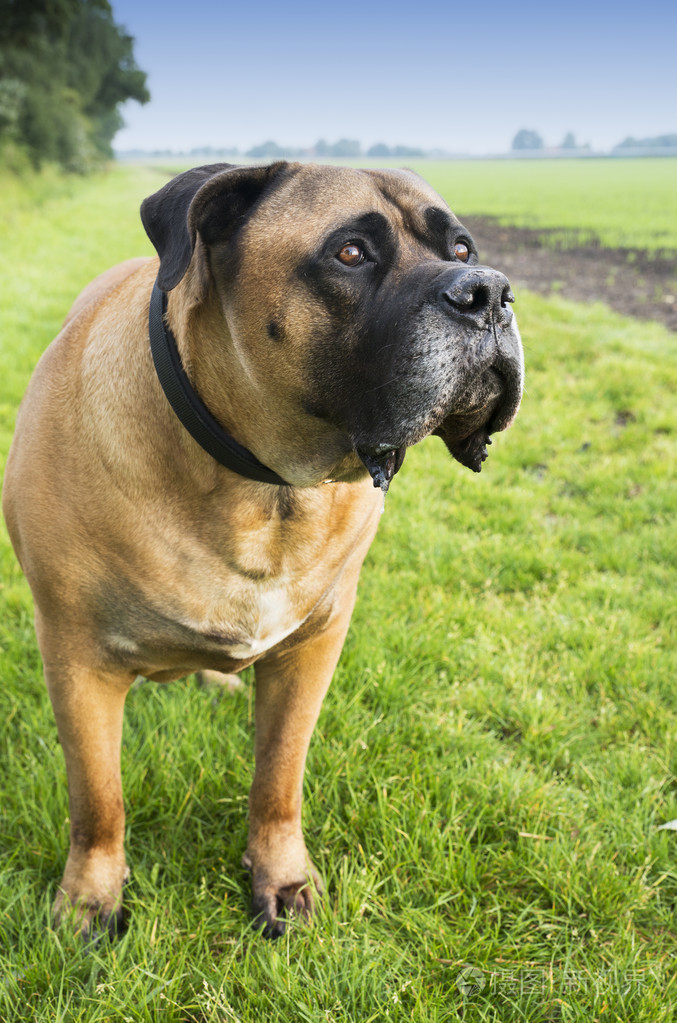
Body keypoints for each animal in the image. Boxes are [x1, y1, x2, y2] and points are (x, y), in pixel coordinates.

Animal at [1, 159, 523, 937]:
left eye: (461, 248)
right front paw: (90, 900)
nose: (487, 291)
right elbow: (98, 796)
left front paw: (280, 876)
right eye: (350, 253)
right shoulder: (77, 657)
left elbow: (279, 774)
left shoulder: (312, 647)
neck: (266, 488)